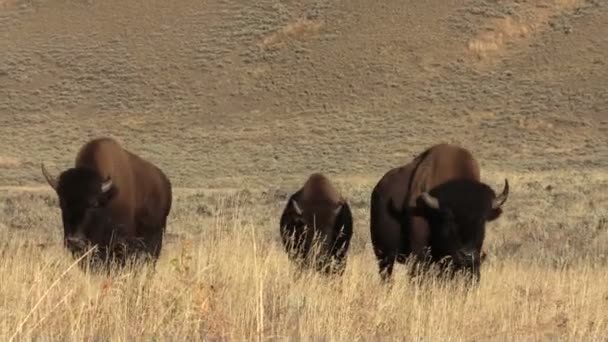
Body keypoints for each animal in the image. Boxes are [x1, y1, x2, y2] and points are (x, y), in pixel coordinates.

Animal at [40, 137, 172, 270]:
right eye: (62, 203)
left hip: (156, 240)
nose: (74, 240)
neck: (107, 198)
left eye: (94, 204)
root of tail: (165, 182)